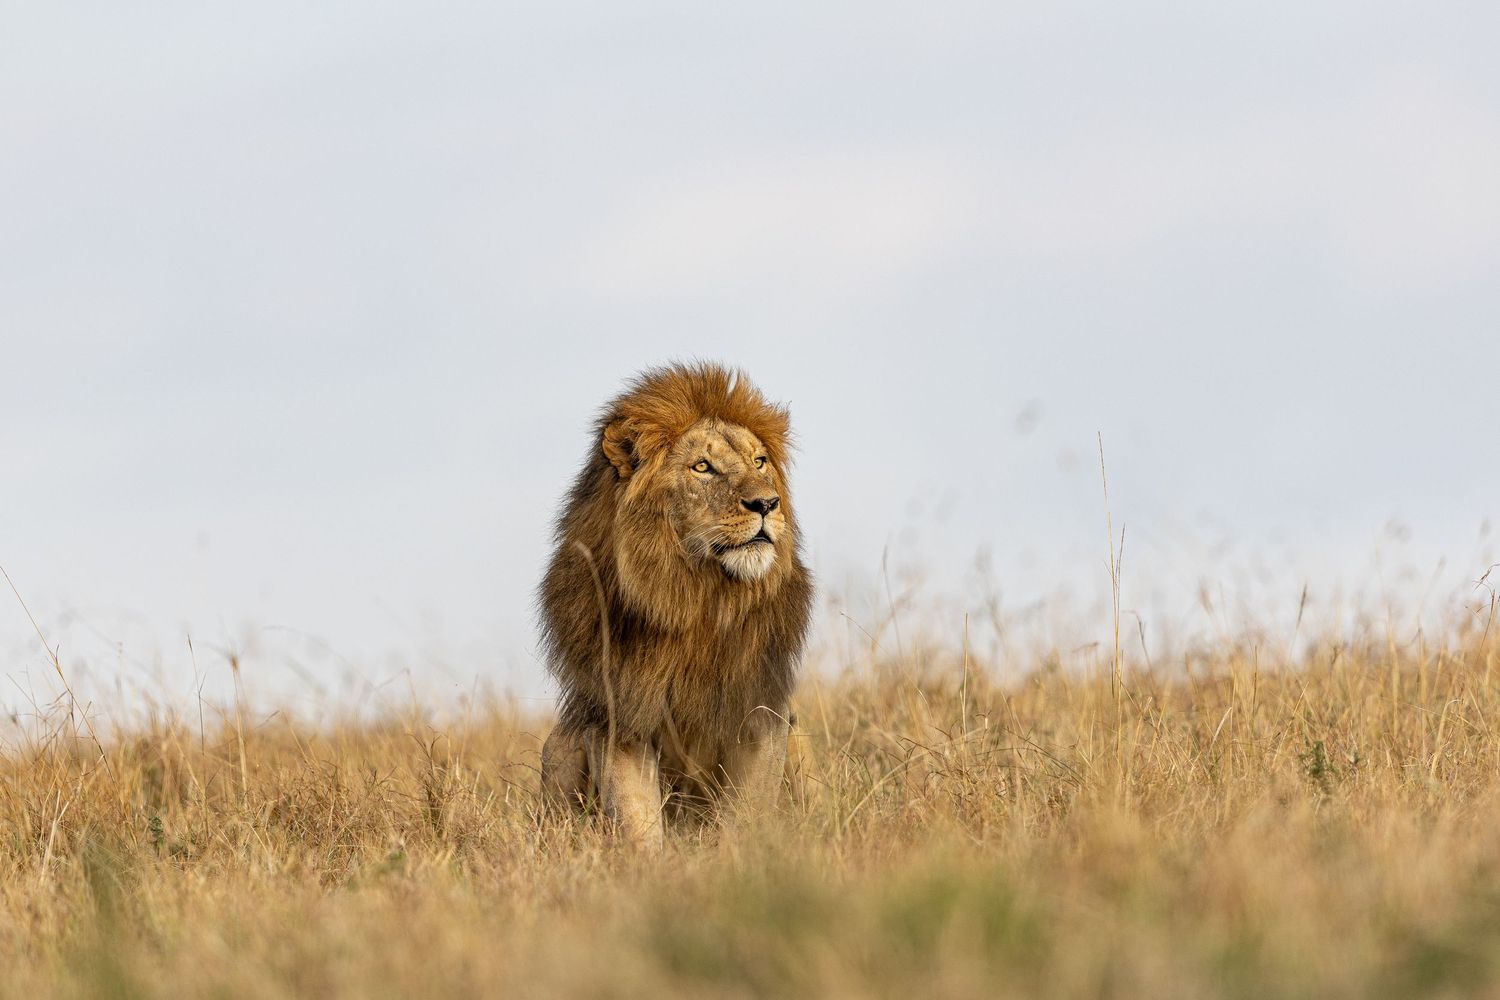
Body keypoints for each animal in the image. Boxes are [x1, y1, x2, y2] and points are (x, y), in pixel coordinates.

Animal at [537, 362, 813, 848]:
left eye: (759, 462)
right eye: (703, 467)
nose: (767, 503)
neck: (698, 598)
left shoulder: (764, 711)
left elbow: (747, 814)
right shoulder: (618, 719)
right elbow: (638, 824)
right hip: (561, 744)